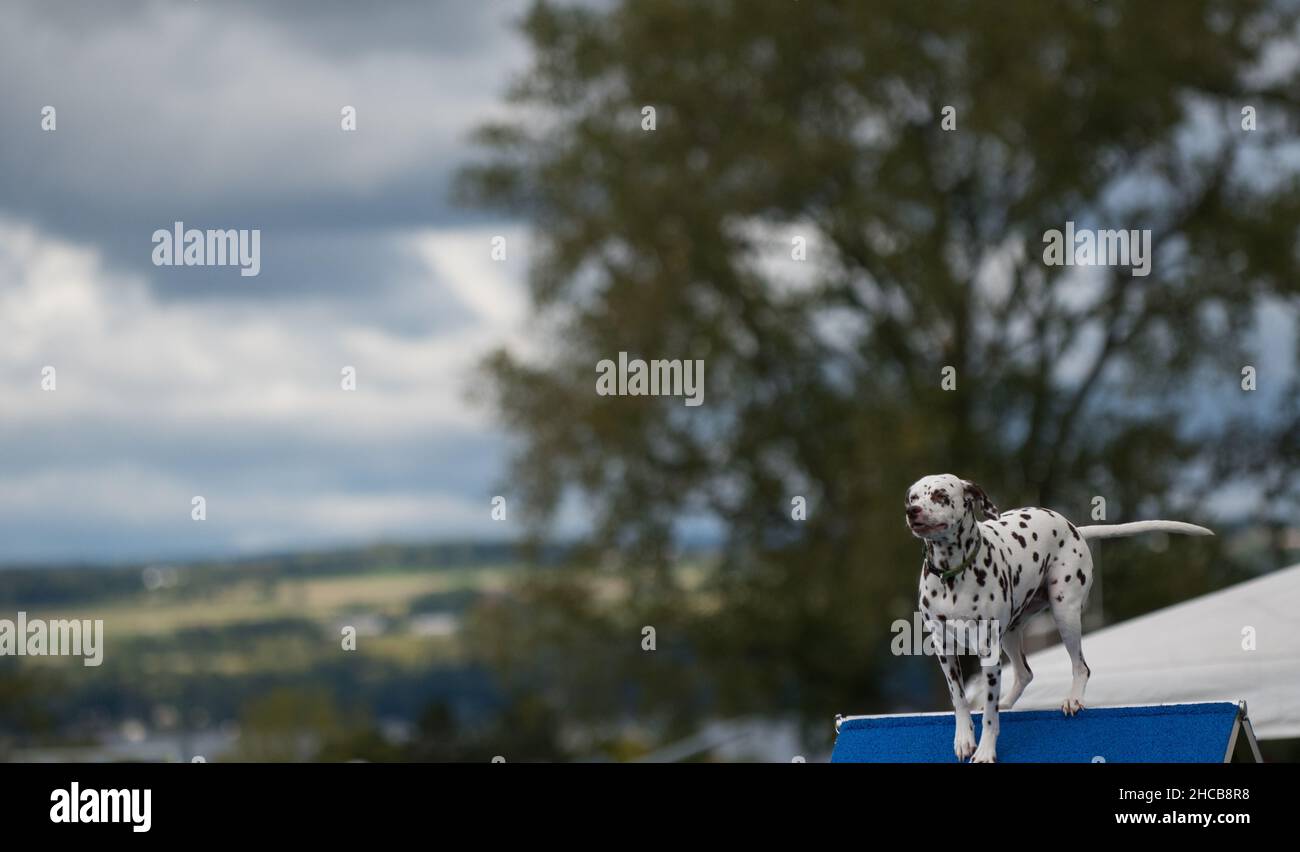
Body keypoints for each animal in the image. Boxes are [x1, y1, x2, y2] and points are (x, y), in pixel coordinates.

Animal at [909, 473, 1211, 764]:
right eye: (912, 496)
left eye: (940, 495)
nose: (912, 511)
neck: (952, 576)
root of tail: (1072, 527)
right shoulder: (945, 652)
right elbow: (959, 700)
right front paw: (963, 739)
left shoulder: (988, 652)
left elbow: (990, 719)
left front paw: (985, 752)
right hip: (1011, 634)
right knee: (1024, 673)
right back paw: (1006, 702)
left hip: (1065, 616)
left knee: (1081, 667)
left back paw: (1074, 698)